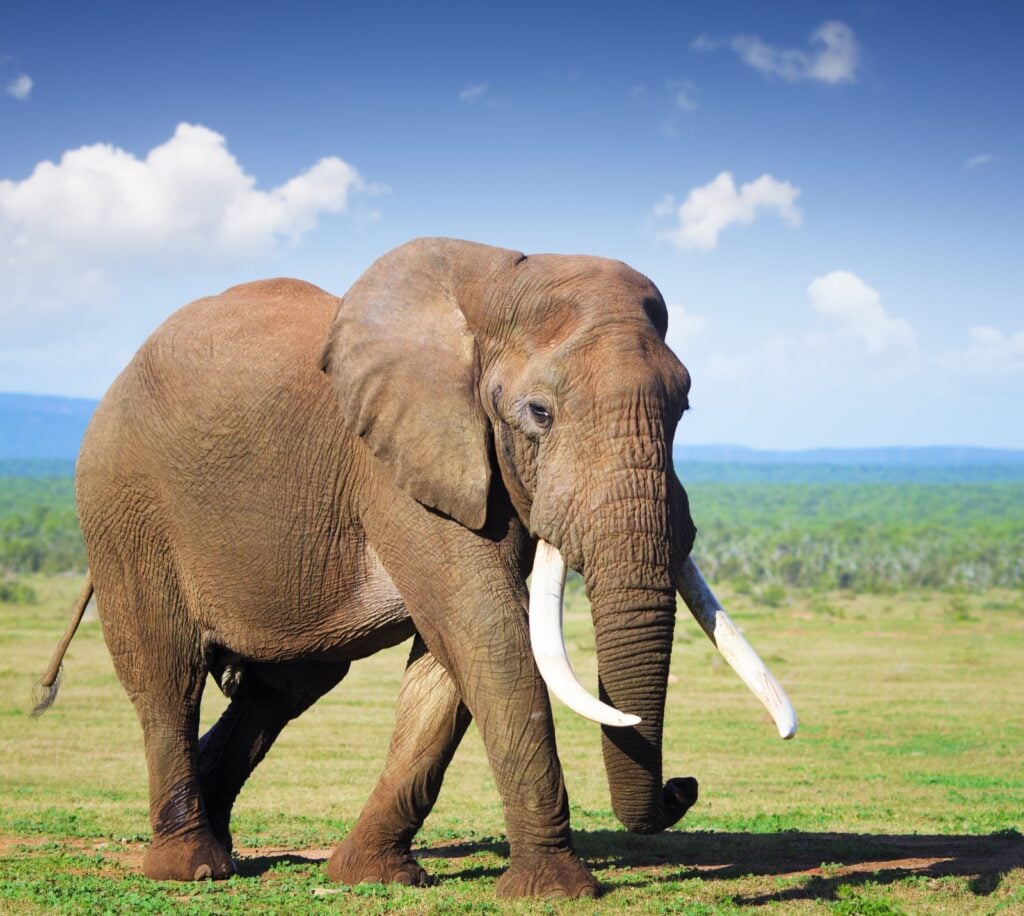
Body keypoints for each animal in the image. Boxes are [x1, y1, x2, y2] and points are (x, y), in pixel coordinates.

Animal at [36, 238, 794, 900]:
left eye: (684, 407)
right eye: (538, 414)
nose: (684, 787)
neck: (494, 285)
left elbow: (450, 660)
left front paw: (371, 877)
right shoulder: (399, 463)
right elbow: (485, 628)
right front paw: (555, 892)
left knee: (285, 686)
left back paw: (222, 846)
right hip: (123, 505)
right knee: (168, 676)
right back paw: (190, 868)